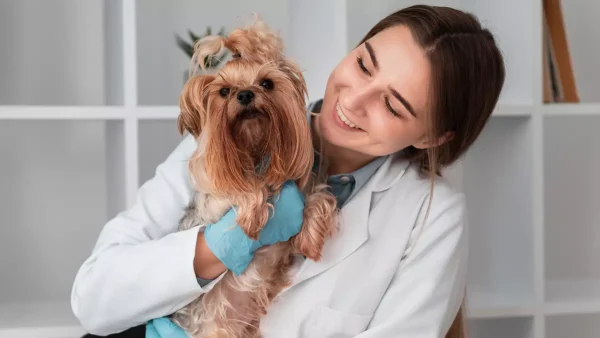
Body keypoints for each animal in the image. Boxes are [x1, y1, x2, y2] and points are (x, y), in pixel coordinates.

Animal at [170, 16, 338, 338]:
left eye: (266, 83)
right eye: (224, 91)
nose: (245, 94)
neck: (254, 151)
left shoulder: (299, 187)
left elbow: (319, 195)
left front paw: (310, 238)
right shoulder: (214, 203)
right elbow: (246, 189)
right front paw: (252, 217)